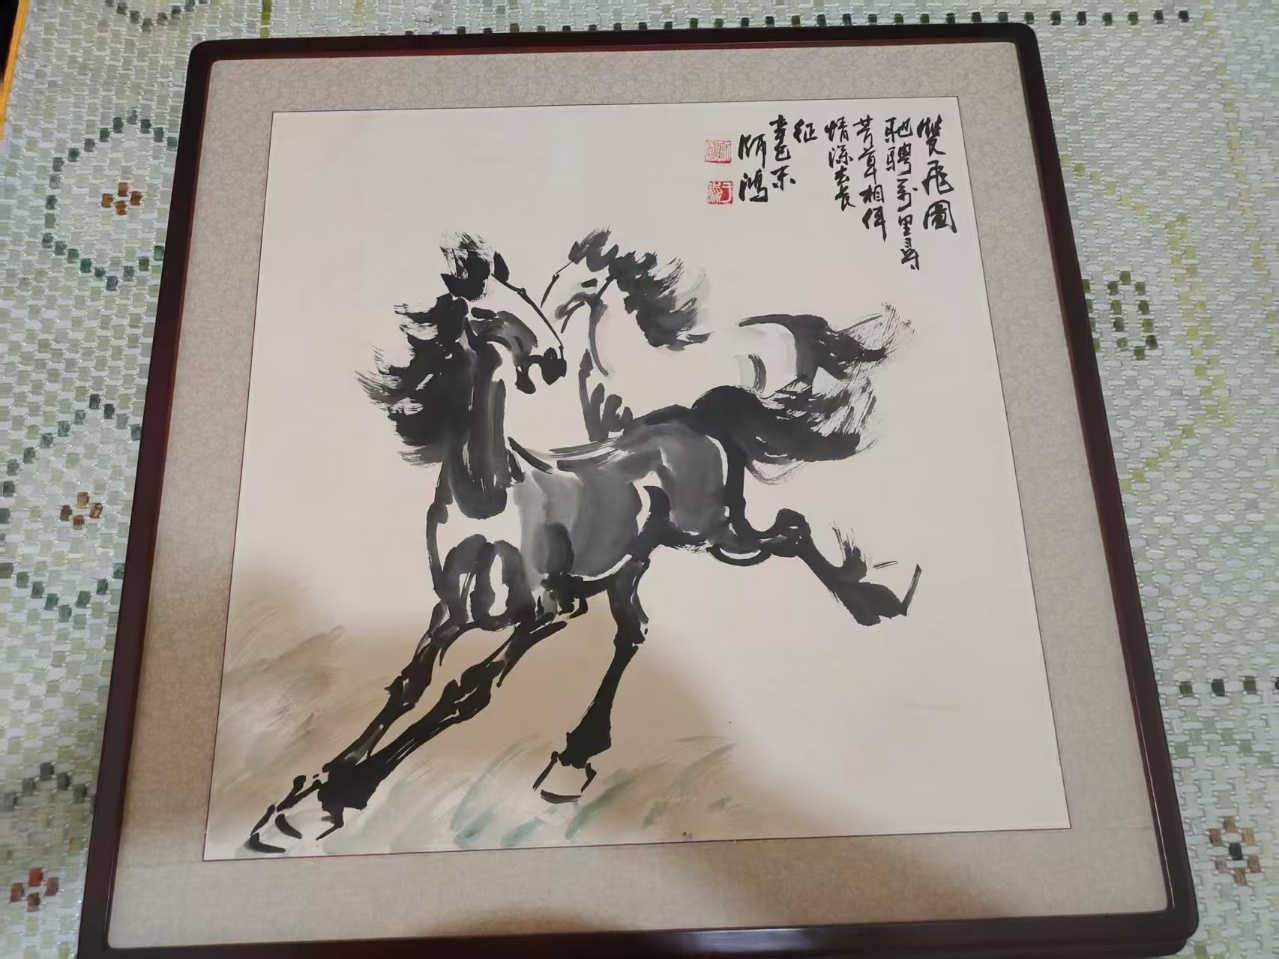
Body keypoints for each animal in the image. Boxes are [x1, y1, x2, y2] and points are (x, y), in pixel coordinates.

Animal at [246, 231, 921, 853]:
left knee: (792, 528)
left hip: (719, 536)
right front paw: (308, 799)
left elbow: (467, 691)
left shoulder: (550, 611)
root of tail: (695, 416)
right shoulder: (451, 609)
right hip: (635, 563)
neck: (489, 497)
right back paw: (574, 759)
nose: (548, 360)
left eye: (523, 294)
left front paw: (345, 795)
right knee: (635, 630)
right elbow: (409, 685)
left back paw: (872, 603)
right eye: (482, 311)